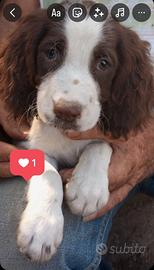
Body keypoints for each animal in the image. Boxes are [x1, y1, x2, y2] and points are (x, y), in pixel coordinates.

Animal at [0, 0, 153, 262]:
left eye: (103, 64)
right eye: (51, 53)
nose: (66, 112)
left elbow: (100, 143)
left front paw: (87, 189)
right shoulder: (29, 144)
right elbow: (48, 173)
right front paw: (41, 228)